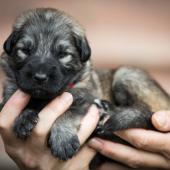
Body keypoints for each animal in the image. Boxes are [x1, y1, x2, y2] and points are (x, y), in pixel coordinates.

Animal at [0, 7, 170, 169]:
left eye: (63, 54)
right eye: (25, 50)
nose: (40, 77)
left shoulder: (83, 98)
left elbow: (68, 113)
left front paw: (63, 140)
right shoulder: (9, 94)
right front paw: (24, 118)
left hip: (126, 75)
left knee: (147, 112)